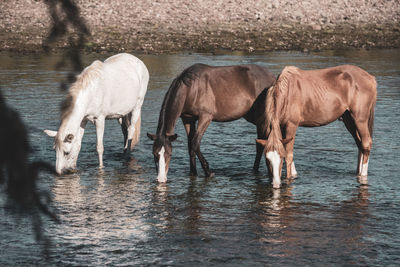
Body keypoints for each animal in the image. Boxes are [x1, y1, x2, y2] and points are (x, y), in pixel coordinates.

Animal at [147, 63, 276, 183]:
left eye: (169, 154)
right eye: (154, 154)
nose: (161, 179)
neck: (190, 89)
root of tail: (272, 77)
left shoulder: (205, 117)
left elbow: (195, 143)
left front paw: (208, 172)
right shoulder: (188, 119)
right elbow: (190, 146)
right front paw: (193, 172)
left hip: (263, 119)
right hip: (255, 118)